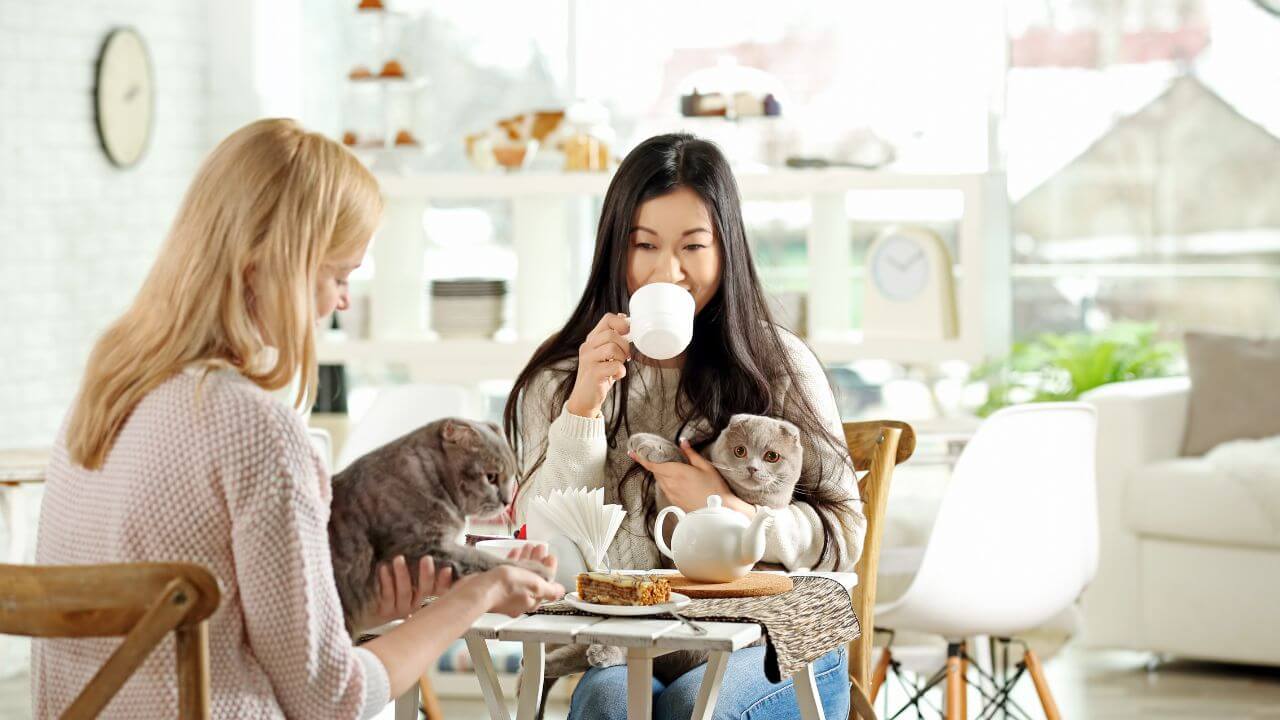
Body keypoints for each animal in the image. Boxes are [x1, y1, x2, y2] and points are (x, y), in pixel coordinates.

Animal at [330, 415, 550, 627]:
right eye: (491, 477)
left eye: (511, 477)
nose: (506, 501)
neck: (429, 479)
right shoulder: (421, 548)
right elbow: (482, 559)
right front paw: (531, 569)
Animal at [586, 415, 803, 676]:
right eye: (740, 451)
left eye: (772, 456)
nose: (753, 468)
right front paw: (649, 442)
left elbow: (682, 459)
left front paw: (649, 445)